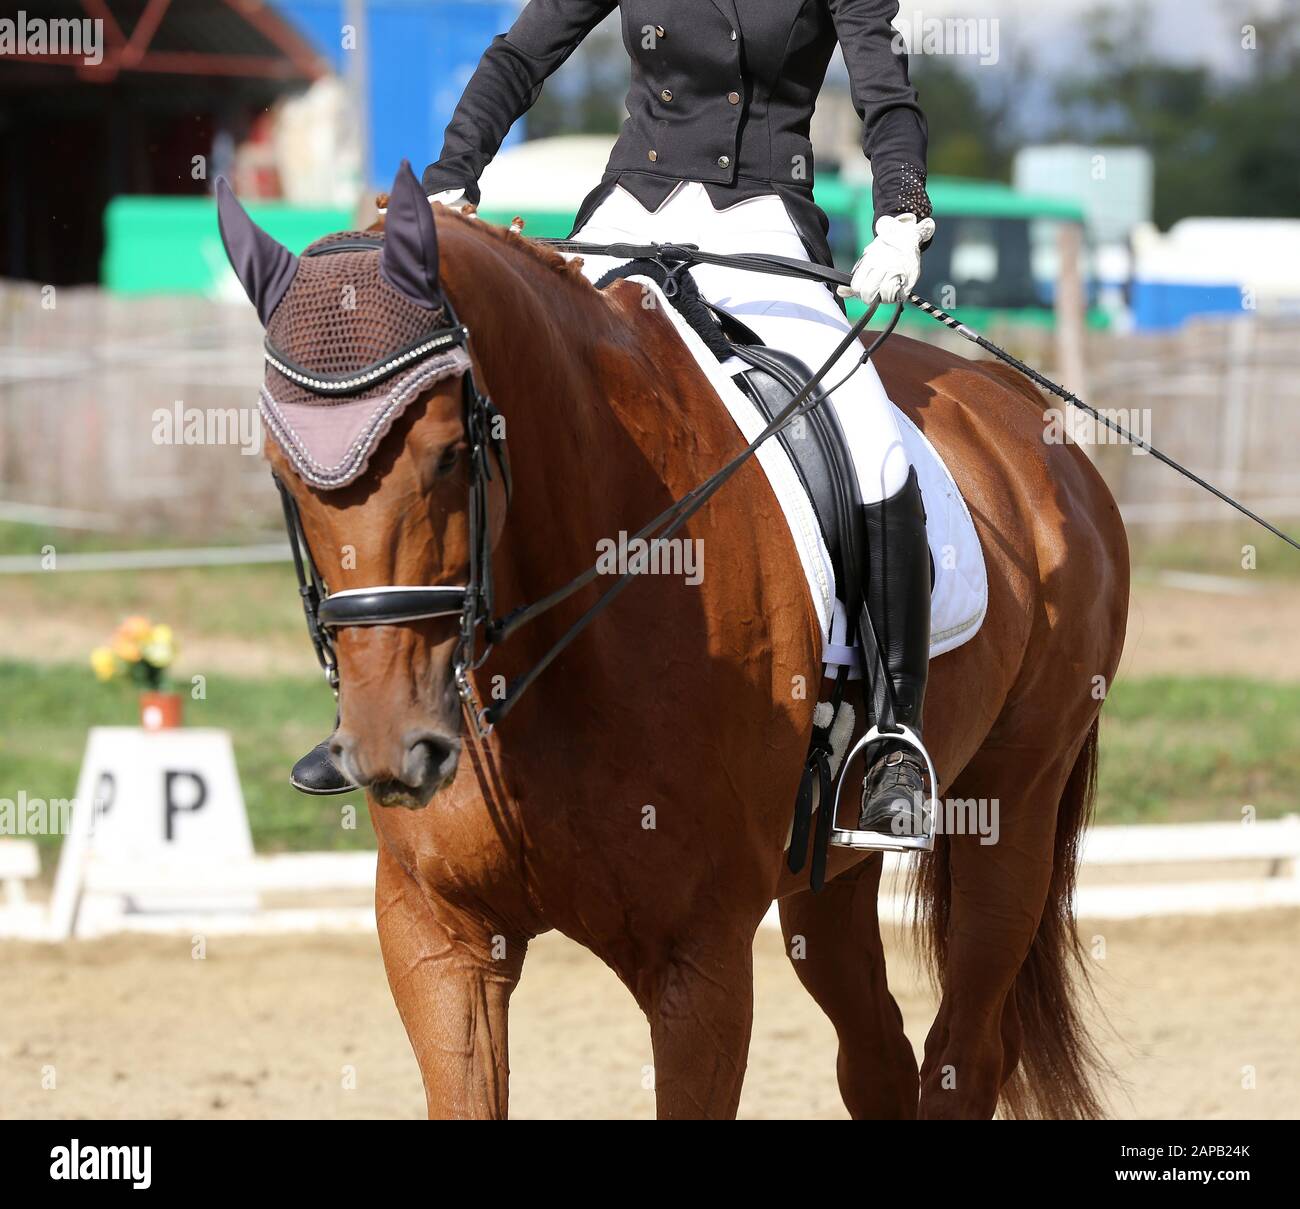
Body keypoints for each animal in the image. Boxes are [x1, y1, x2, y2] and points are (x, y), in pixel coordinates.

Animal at [225, 166, 1128, 1119]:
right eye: (282, 471)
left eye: (445, 454)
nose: (389, 747)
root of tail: (1026, 413)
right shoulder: (438, 936)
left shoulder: (700, 960)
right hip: (830, 870)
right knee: (876, 1054)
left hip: (1012, 811)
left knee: (966, 1051)